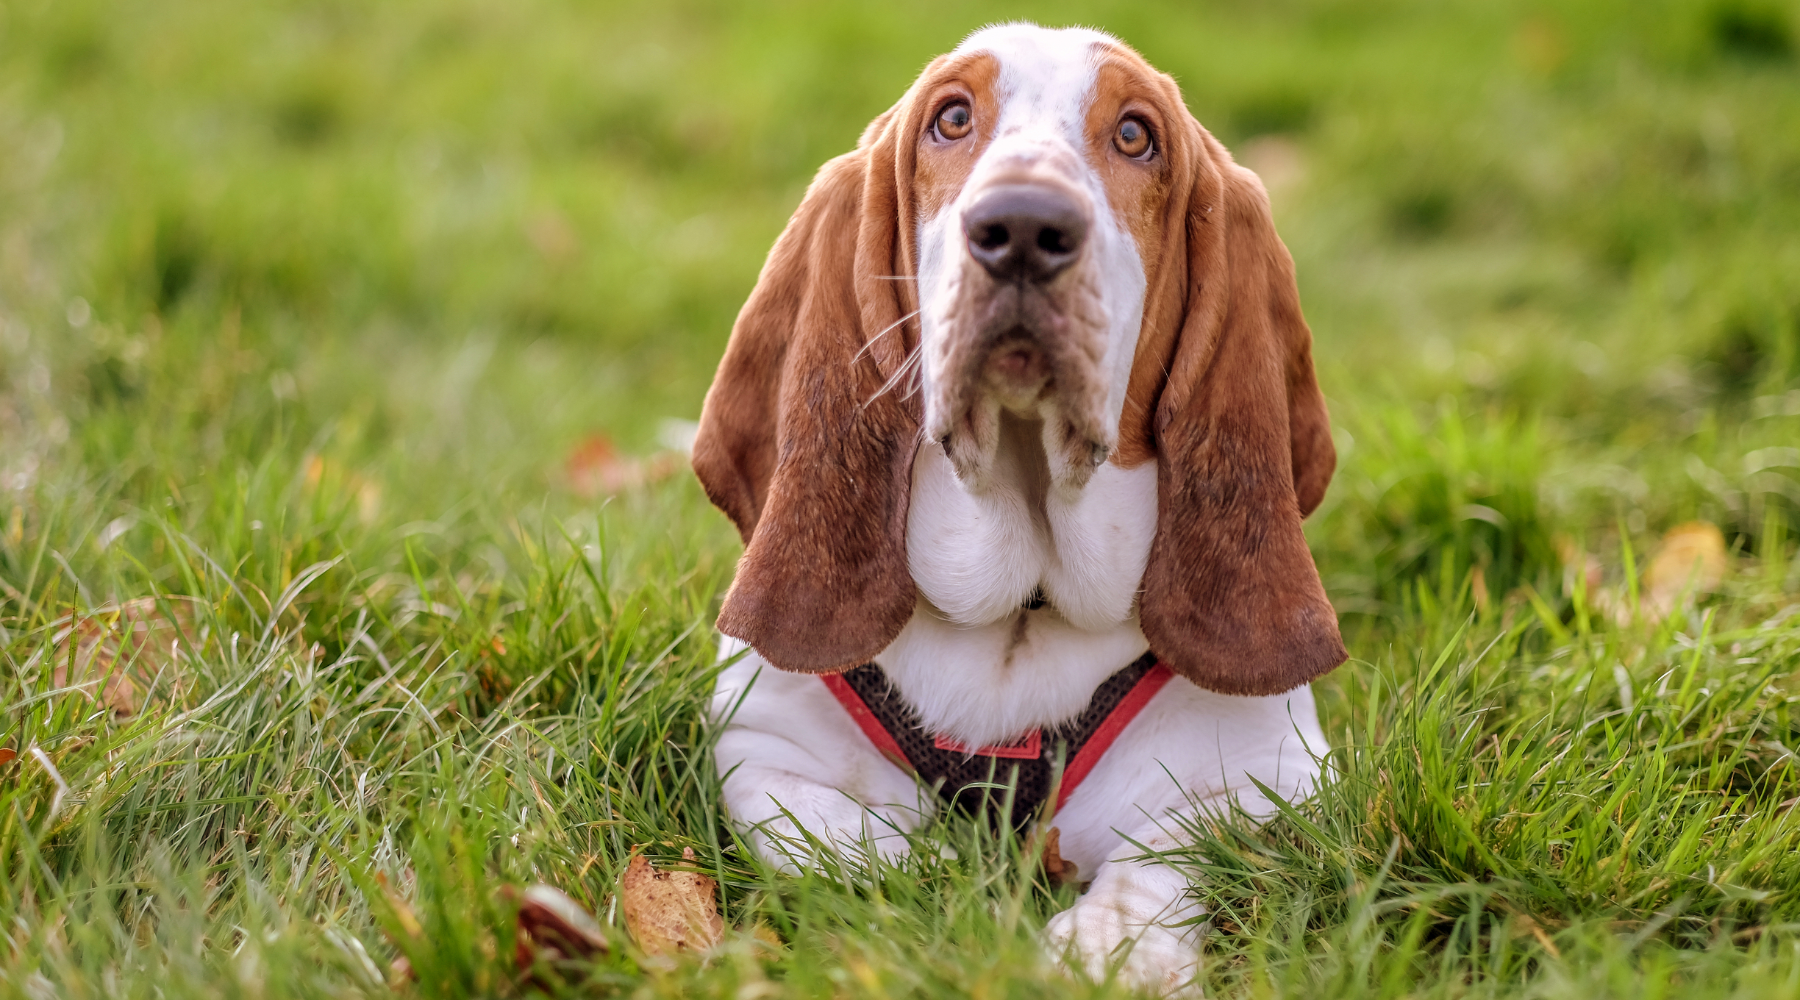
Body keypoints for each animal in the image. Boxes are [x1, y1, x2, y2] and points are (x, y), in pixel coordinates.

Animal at [694, 21, 1346, 992]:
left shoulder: (1275, 772)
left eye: (1135, 135)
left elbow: (1173, 854)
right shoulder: (764, 745)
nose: (1026, 228)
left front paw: (1107, 951)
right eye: (951, 119)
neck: (1021, 612)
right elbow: (837, 844)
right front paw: (929, 883)